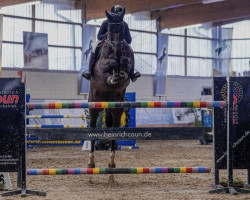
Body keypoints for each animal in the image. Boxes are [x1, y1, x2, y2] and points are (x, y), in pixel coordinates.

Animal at [87, 7, 133, 169]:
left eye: (122, 29)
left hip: (116, 108)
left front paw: (119, 73)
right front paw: (113, 75)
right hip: (94, 107)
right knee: (92, 129)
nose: (117, 49)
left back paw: (112, 162)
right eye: (109, 29)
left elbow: (125, 65)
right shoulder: (102, 66)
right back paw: (91, 161)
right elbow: (110, 65)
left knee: (114, 128)